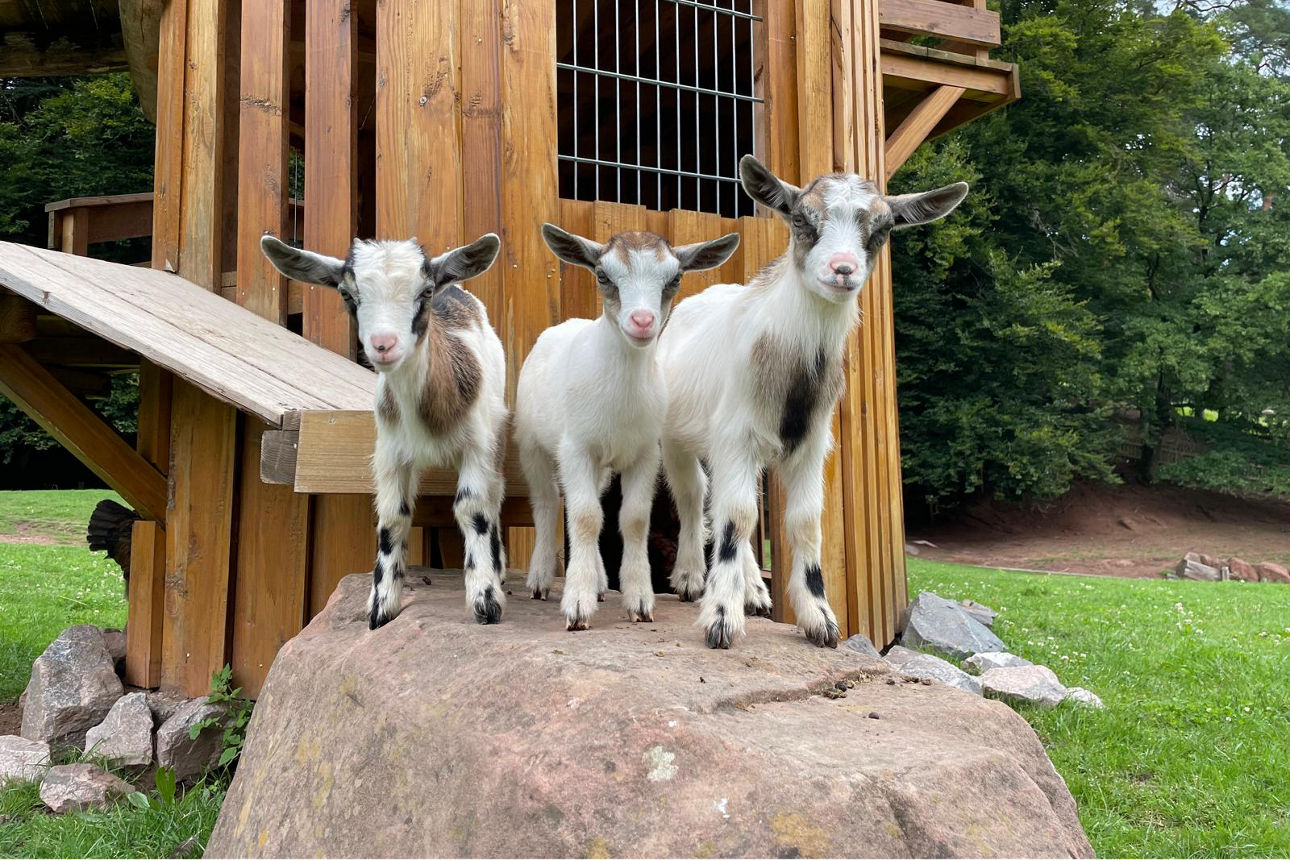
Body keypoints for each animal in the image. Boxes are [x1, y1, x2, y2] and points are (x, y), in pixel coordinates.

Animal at [261, 233, 507, 630]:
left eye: (424, 291)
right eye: (348, 294)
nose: (383, 345)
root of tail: (456, 290)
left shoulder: (478, 444)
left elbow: (473, 508)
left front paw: (486, 599)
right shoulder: (390, 452)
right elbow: (393, 518)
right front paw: (380, 606)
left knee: (495, 495)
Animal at [517, 225, 739, 631]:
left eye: (675, 277)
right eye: (603, 275)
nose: (642, 321)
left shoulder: (644, 454)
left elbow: (633, 519)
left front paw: (638, 601)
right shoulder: (576, 449)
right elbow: (584, 517)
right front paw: (577, 606)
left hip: (603, 466)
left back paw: (600, 582)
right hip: (532, 445)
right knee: (546, 502)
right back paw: (540, 579)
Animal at [658, 156, 968, 649]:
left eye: (883, 228)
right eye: (802, 220)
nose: (843, 269)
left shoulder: (808, 442)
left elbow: (803, 521)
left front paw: (819, 618)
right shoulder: (736, 435)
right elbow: (736, 517)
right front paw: (721, 617)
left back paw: (754, 590)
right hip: (678, 437)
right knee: (695, 495)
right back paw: (689, 578)